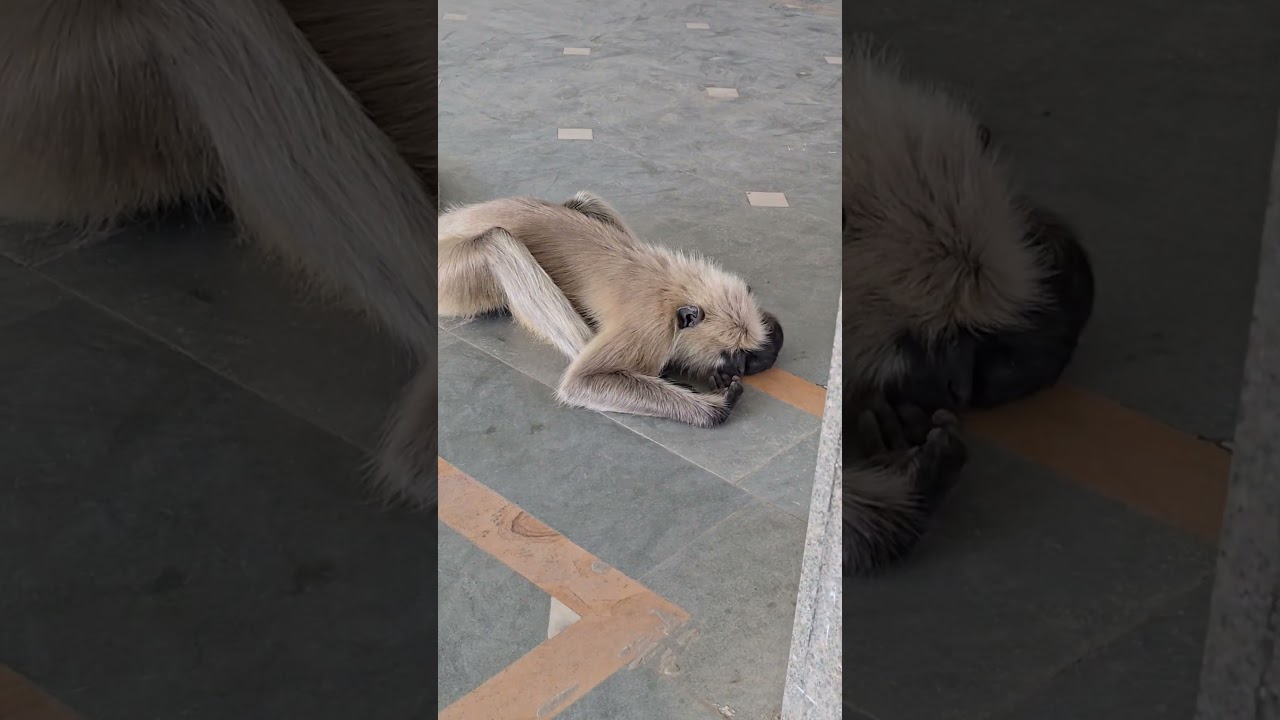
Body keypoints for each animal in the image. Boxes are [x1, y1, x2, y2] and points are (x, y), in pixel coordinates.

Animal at [438, 191, 785, 427]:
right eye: (732, 355)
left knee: (583, 200)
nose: (743, 367)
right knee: (498, 242)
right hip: (449, 275)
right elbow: (582, 382)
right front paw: (716, 405)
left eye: (744, 355)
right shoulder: (651, 329)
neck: (675, 290)